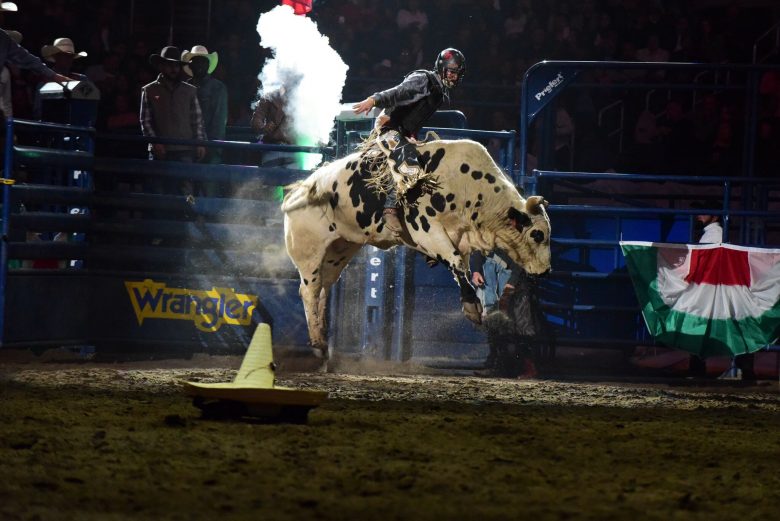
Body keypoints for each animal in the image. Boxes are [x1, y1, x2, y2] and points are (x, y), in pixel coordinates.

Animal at [284, 137, 552, 358]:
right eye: (537, 234)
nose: (547, 271)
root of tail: (297, 192)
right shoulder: (426, 229)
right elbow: (456, 262)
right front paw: (472, 308)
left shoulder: (460, 238)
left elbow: (460, 267)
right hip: (309, 253)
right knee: (309, 290)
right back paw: (317, 342)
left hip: (338, 251)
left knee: (323, 288)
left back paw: (322, 337)